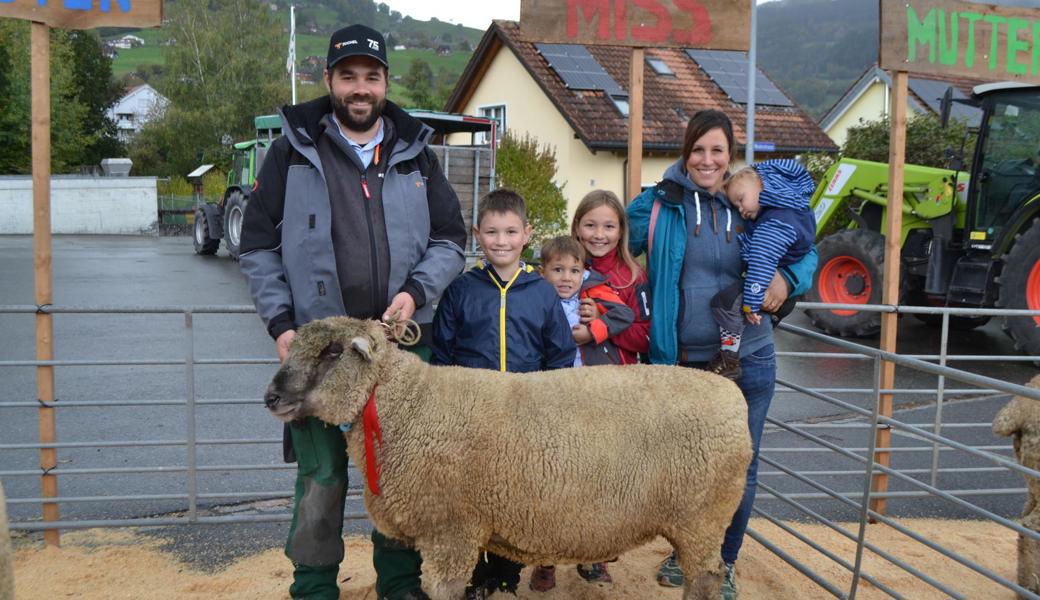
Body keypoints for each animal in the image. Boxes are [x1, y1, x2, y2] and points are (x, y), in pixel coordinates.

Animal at [264, 316, 752, 594]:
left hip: (701, 518)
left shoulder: (451, 532)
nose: (271, 397)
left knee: (706, 577)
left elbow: (443, 590)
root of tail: (734, 398)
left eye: (332, 352)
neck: (405, 404)